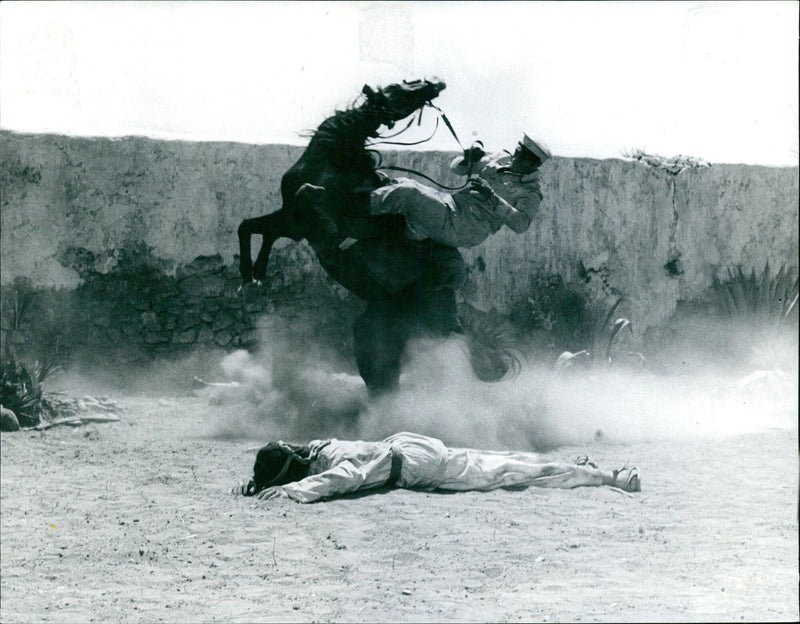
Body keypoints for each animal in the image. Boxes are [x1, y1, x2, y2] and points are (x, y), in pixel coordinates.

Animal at [238, 78, 512, 394]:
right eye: (398, 89)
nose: (435, 83)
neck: (333, 160)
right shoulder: (292, 222)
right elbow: (250, 227)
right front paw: (251, 277)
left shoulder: (320, 215)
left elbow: (305, 202)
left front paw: (255, 275)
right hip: (375, 335)